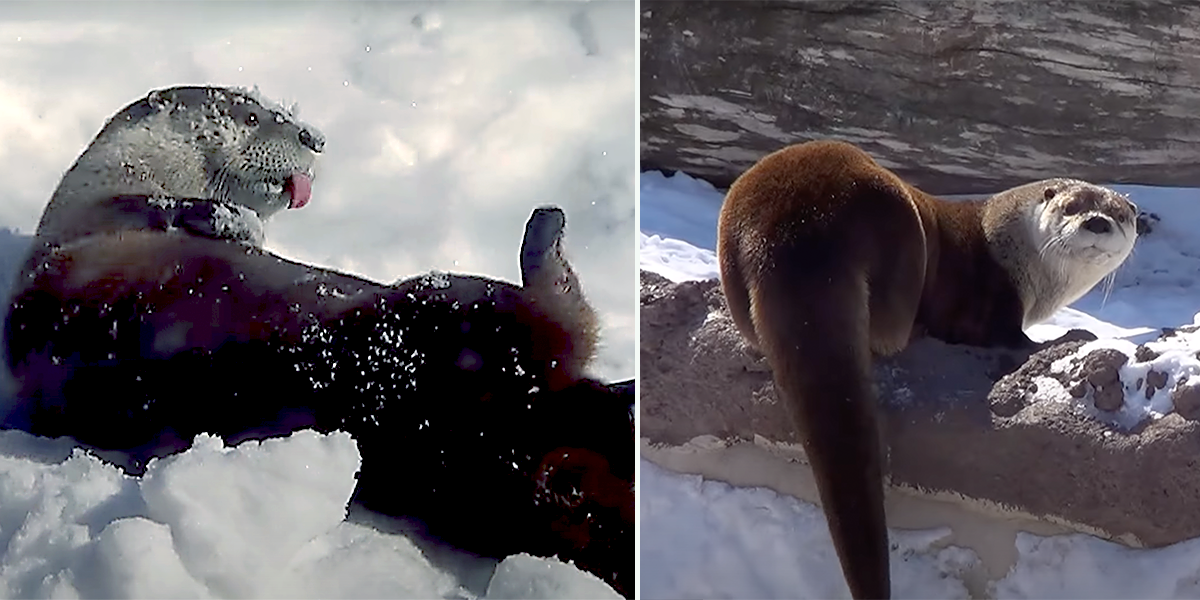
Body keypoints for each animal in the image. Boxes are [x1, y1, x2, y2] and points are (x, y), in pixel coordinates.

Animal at [2, 87, 638, 597]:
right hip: (460, 306)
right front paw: (227, 218)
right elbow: (161, 208)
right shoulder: (96, 217)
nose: (315, 137)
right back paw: (545, 228)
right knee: (561, 313)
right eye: (252, 114)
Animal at [715, 139, 1137, 595]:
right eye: (1072, 206)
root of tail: (796, 231)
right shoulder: (993, 305)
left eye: (1118, 213)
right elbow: (1008, 340)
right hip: (900, 233)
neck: (1012, 250)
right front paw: (1068, 337)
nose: (1096, 222)